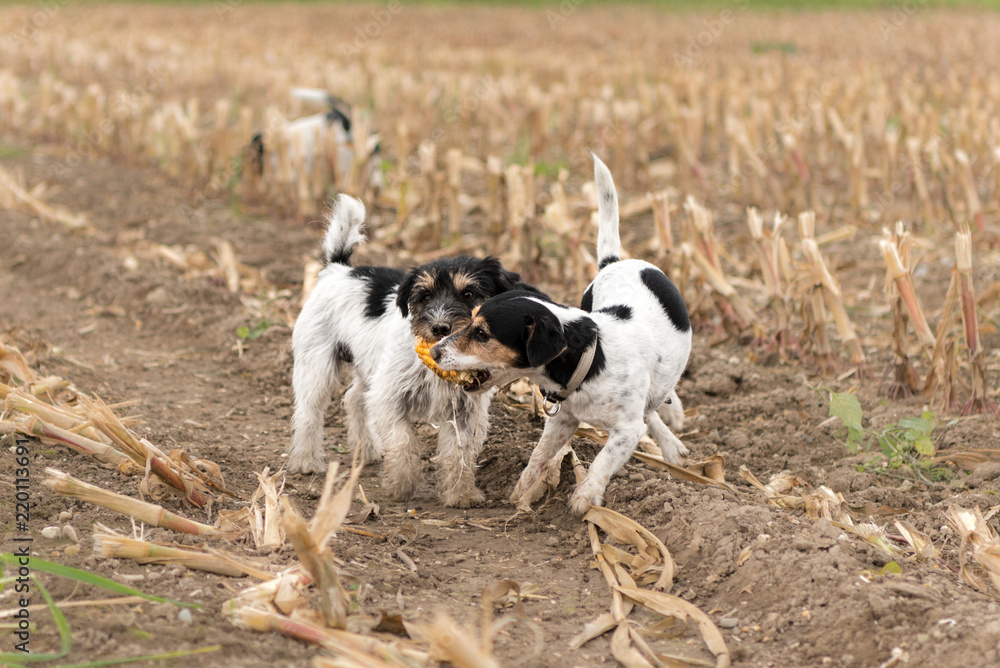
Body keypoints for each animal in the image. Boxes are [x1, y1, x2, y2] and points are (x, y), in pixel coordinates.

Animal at [288, 196, 540, 508]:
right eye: (425, 296)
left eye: (468, 294)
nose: (440, 327)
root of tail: (338, 270)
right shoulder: (389, 397)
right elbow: (403, 440)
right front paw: (401, 486)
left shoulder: (466, 411)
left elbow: (459, 453)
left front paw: (460, 493)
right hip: (317, 366)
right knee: (309, 412)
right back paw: (306, 461)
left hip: (368, 369)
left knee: (355, 399)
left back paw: (366, 450)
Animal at [430, 154, 696, 516]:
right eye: (469, 321)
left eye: (482, 333)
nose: (434, 351)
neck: (589, 358)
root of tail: (615, 262)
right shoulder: (562, 422)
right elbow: (538, 457)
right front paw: (521, 495)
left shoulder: (626, 432)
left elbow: (603, 461)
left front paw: (584, 498)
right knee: (650, 408)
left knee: (652, 407)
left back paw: (671, 437)